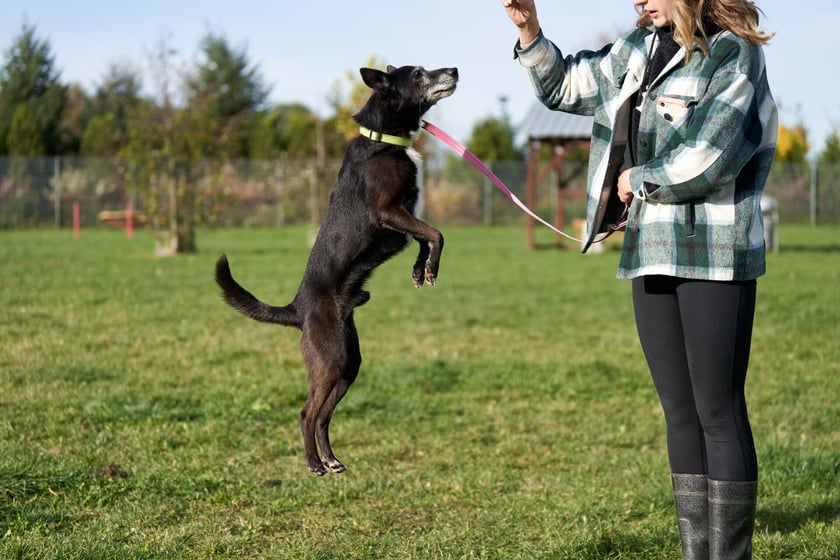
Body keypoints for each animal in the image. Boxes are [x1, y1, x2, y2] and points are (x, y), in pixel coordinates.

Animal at [213, 65, 456, 476]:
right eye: (419, 74)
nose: (454, 70)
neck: (383, 138)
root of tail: (297, 308)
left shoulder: (406, 213)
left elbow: (425, 236)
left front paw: (419, 270)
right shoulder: (389, 210)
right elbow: (435, 233)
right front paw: (431, 269)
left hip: (347, 364)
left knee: (324, 415)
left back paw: (330, 459)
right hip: (331, 362)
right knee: (307, 413)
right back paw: (313, 463)